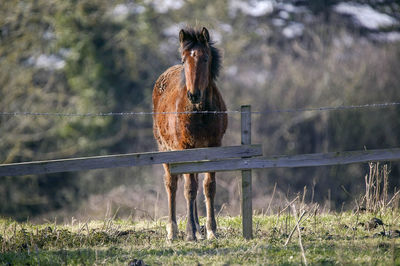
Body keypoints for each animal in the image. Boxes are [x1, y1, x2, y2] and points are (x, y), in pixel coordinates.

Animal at [152, 27, 228, 241]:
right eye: (184, 59)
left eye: (205, 58)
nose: (193, 94)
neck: (200, 111)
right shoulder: (184, 147)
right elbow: (189, 189)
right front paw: (189, 232)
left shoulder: (214, 146)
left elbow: (208, 187)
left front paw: (210, 230)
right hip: (165, 148)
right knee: (172, 184)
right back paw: (173, 230)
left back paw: (197, 229)